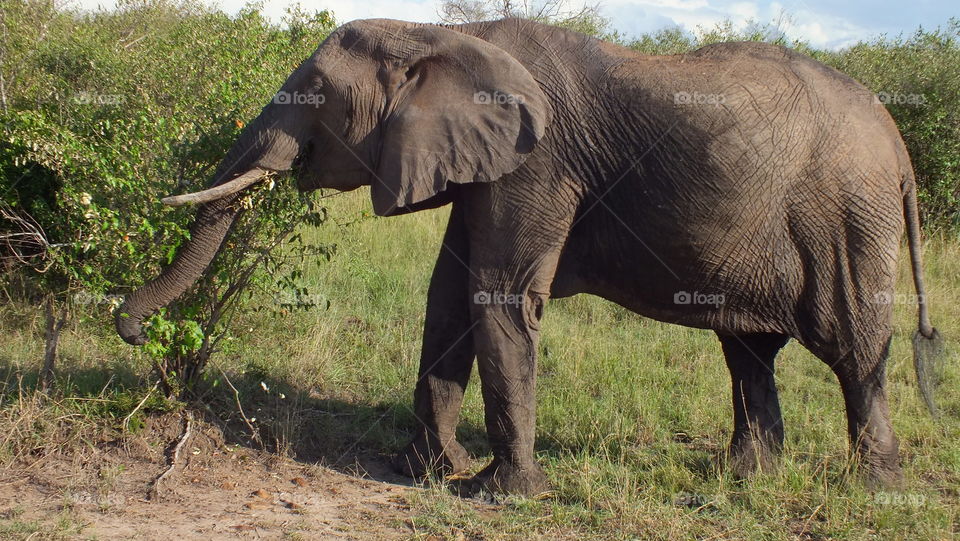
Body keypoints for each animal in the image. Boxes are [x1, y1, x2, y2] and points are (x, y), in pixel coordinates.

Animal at [116, 18, 942, 495]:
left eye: (315, 89)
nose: (126, 323)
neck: (440, 33)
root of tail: (897, 142)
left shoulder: (537, 165)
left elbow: (500, 294)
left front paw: (503, 492)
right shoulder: (487, 163)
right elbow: (448, 297)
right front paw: (426, 471)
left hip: (846, 216)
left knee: (851, 345)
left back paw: (877, 488)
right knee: (748, 348)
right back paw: (740, 477)